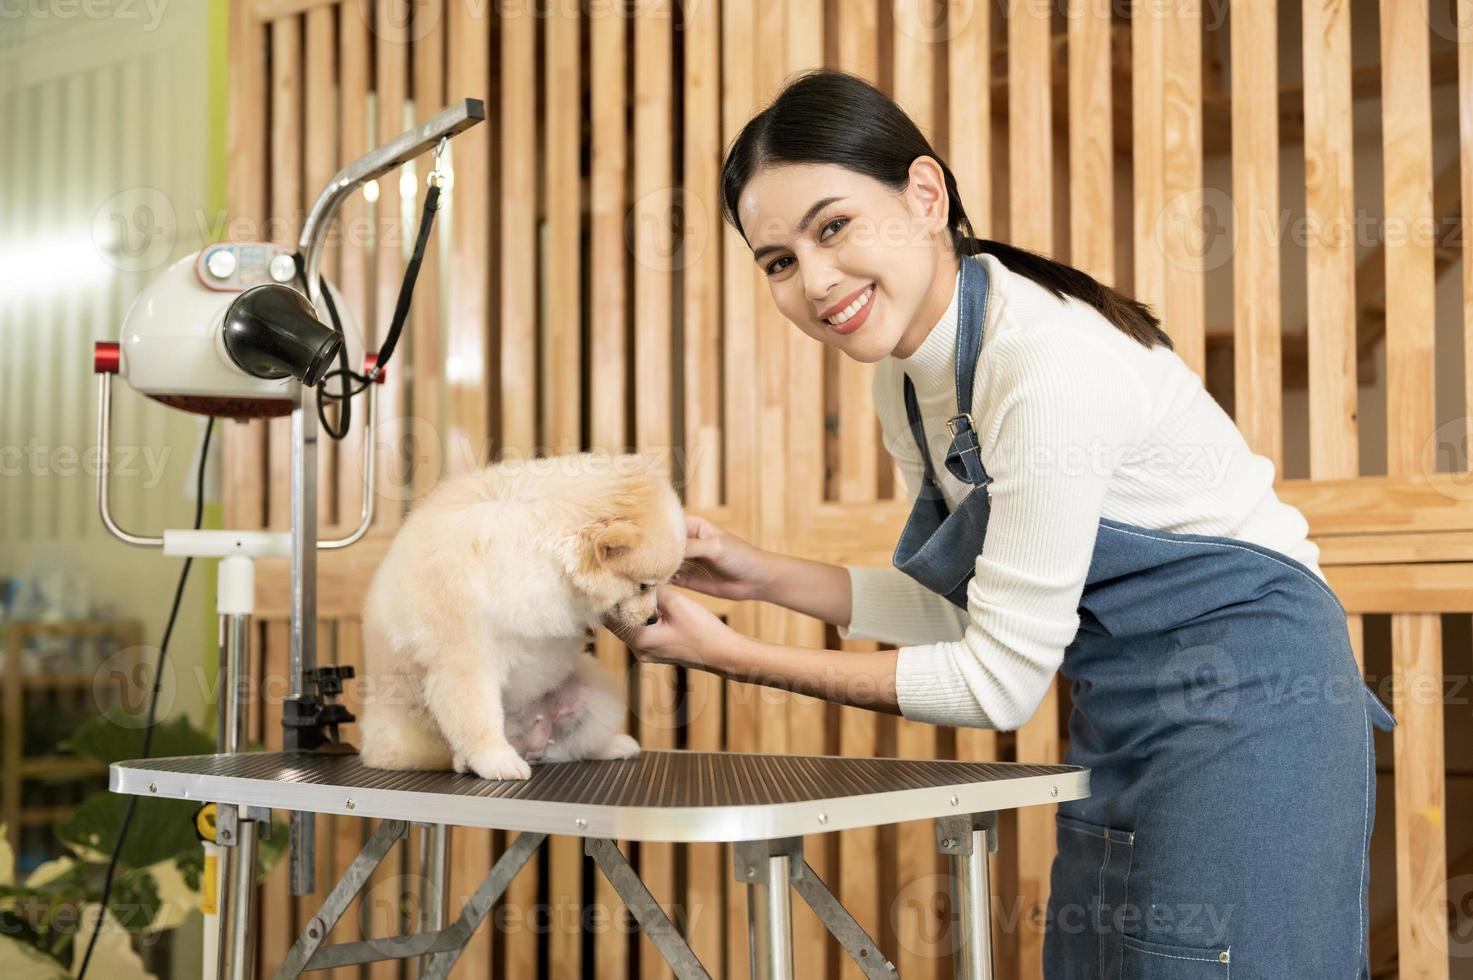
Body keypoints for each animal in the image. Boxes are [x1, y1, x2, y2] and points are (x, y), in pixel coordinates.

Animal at [356, 450, 683, 778]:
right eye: (643, 586)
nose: (652, 618)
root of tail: (531, 742)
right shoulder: (464, 660)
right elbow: (476, 716)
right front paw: (496, 760)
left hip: (596, 693)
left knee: (574, 747)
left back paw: (613, 746)